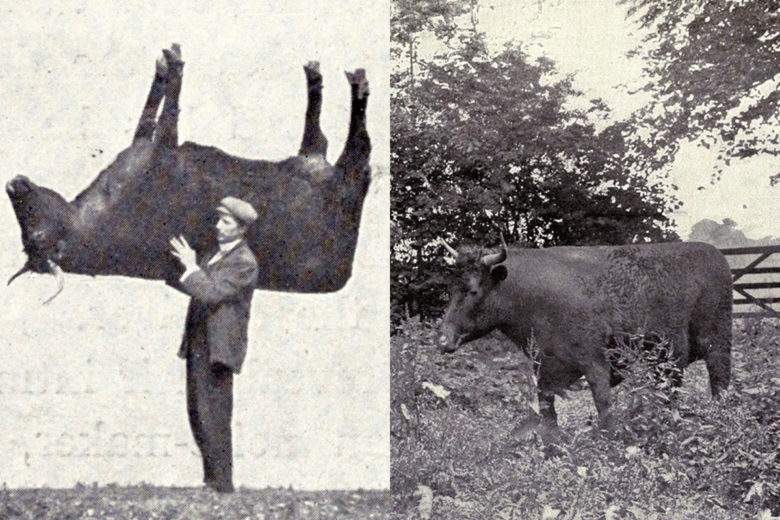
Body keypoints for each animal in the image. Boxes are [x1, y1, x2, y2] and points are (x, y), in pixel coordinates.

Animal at [5, 46, 372, 298]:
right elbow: (168, 118)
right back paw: (352, 83)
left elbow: (149, 118)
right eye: (36, 238)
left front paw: (164, 68)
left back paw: (317, 78)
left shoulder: (145, 148)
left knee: (320, 138)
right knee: (357, 147)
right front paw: (175, 65)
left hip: (317, 161)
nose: (13, 184)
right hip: (348, 179)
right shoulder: (163, 157)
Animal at [438, 237, 732, 430]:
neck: (538, 299)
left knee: (720, 385)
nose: (443, 339)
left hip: (717, 344)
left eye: (473, 290)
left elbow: (604, 410)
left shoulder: (596, 363)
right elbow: (547, 412)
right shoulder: (545, 366)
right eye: (449, 288)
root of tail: (713, 253)